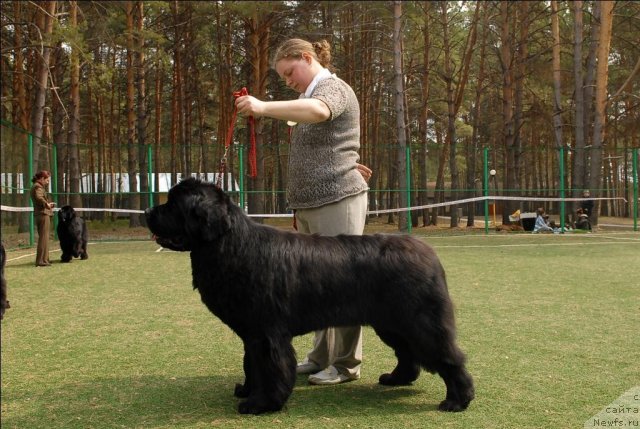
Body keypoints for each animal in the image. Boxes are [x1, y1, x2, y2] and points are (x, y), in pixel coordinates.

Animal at [146, 178, 476, 414]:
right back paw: (396, 379)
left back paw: (457, 400)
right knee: (408, 353)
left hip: (420, 322)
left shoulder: (267, 333)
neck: (231, 245)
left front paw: (261, 404)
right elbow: (251, 364)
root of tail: (429, 253)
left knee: (449, 357)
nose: (148, 212)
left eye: (172, 205)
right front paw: (248, 390)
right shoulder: (252, 334)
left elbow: (270, 368)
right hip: (392, 324)